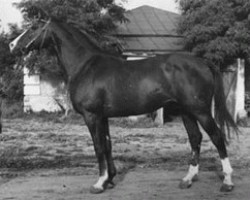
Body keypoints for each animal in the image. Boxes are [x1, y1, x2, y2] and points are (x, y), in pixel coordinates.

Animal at [9, 16, 236, 194]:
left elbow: (98, 146)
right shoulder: (103, 117)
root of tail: (202, 62)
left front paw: (99, 184)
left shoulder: (92, 116)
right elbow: (107, 145)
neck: (85, 65)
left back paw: (227, 182)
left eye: (34, 27)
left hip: (200, 110)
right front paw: (109, 180)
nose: (12, 45)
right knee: (195, 138)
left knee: (217, 137)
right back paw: (188, 179)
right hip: (187, 111)